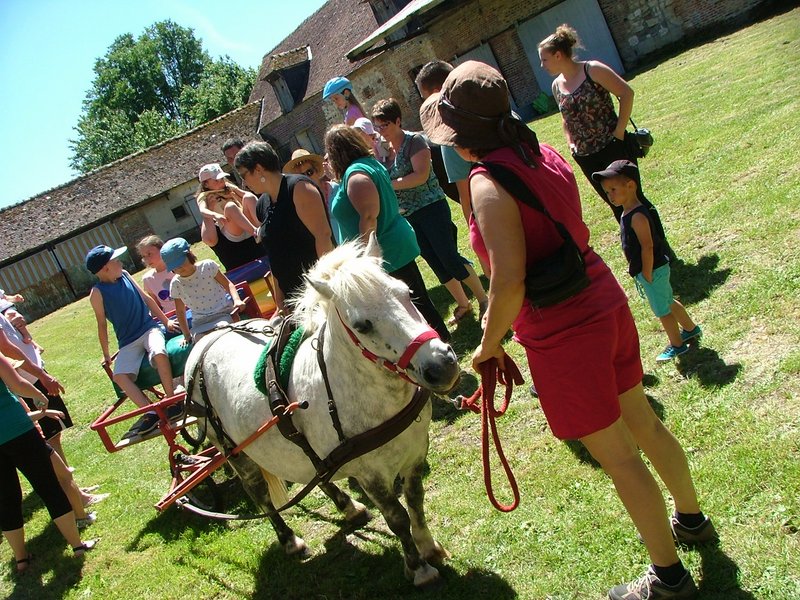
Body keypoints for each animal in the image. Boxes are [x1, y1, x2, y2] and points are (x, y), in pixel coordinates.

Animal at [185, 235, 460, 586]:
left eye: (407, 293)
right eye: (362, 325)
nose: (441, 365)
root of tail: (206, 343)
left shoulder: (414, 453)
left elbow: (415, 500)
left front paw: (429, 547)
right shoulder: (370, 475)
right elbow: (397, 517)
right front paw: (419, 568)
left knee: (318, 470)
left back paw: (348, 507)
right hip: (235, 453)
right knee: (260, 496)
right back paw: (290, 541)